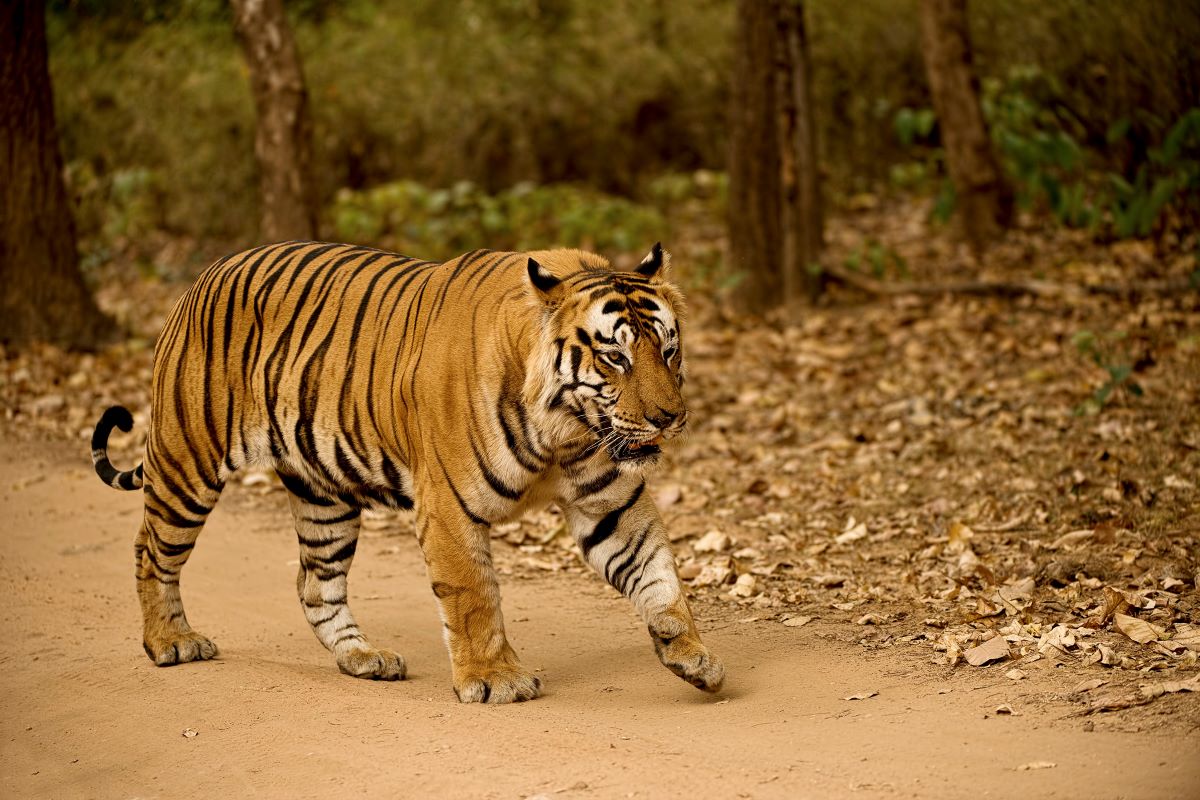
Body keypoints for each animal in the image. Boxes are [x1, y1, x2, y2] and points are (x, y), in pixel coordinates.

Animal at [91, 241, 720, 705]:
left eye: (668, 350)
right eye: (615, 357)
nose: (670, 418)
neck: (565, 432)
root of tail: (203, 276)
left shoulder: (608, 502)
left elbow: (657, 570)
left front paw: (687, 649)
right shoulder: (449, 506)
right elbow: (472, 594)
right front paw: (495, 680)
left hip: (324, 495)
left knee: (314, 582)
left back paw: (362, 658)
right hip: (187, 464)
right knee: (151, 552)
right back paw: (171, 641)